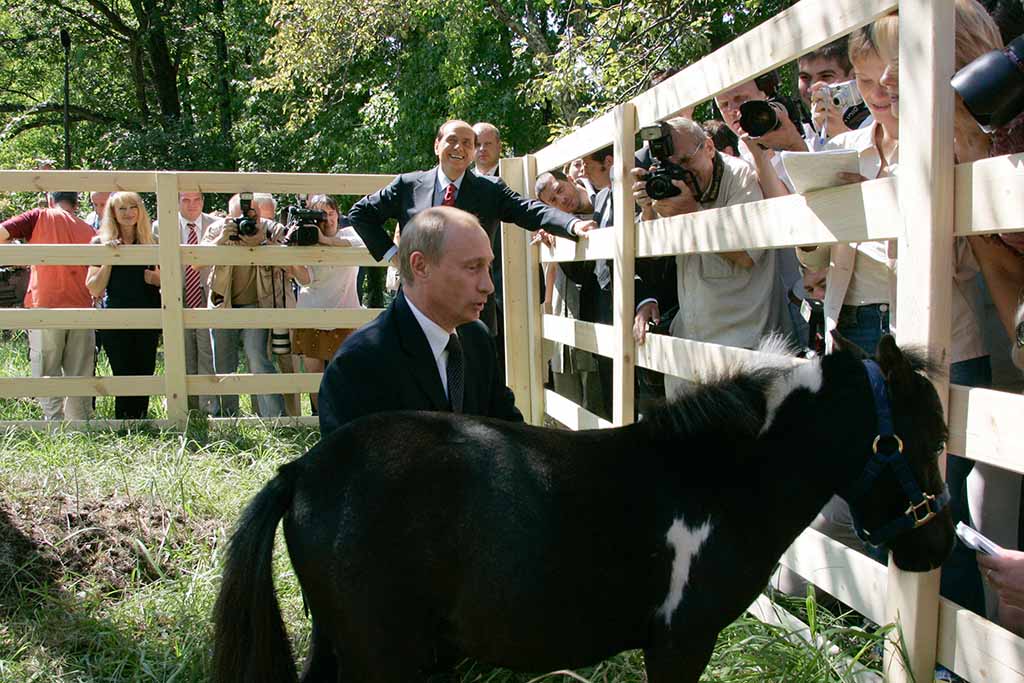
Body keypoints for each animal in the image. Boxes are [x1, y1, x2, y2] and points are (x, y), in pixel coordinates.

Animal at [211, 335, 954, 683]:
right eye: (929, 437)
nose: (939, 546)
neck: (714, 479)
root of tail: (305, 470)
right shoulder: (682, 642)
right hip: (381, 655)